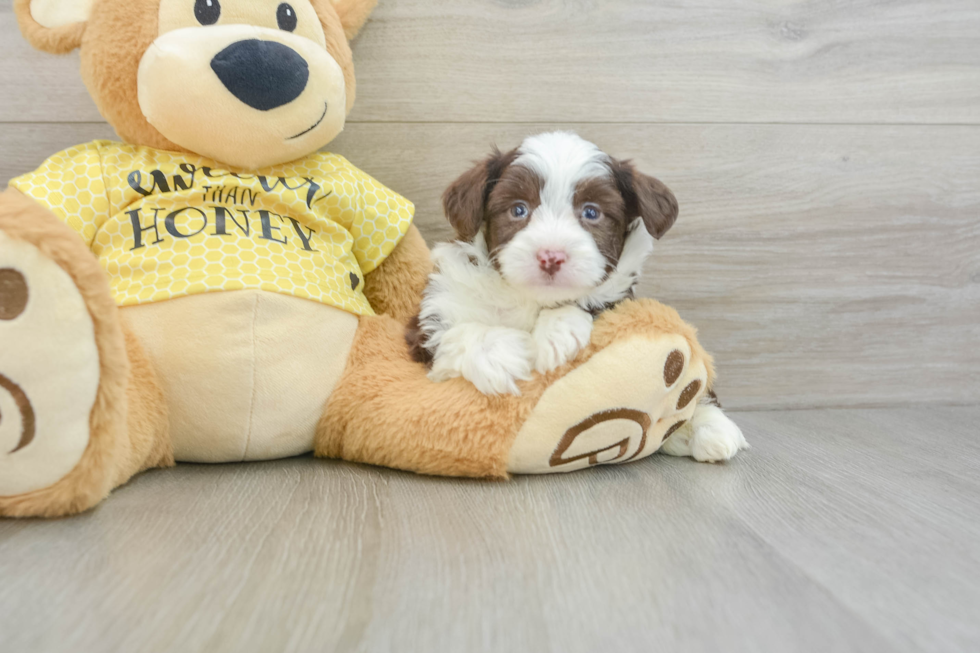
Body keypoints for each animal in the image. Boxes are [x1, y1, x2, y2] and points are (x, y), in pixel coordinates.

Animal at [410, 131, 676, 398]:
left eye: (591, 212)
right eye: (518, 209)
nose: (551, 256)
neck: (529, 298)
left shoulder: (622, 301)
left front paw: (557, 330)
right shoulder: (437, 310)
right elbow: (447, 334)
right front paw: (498, 353)